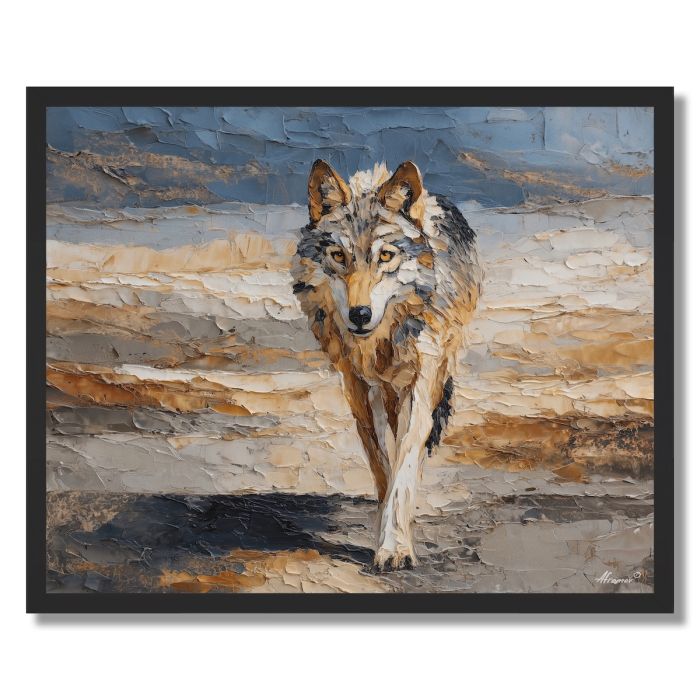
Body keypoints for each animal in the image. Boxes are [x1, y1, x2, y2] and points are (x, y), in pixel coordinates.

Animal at [292, 159, 482, 570]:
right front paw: (384, 534)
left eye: (385, 256)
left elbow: (405, 461)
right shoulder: (364, 388)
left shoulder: (421, 381)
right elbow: (383, 462)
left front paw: (396, 547)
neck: (383, 342)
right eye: (339, 256)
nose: (360, 314)